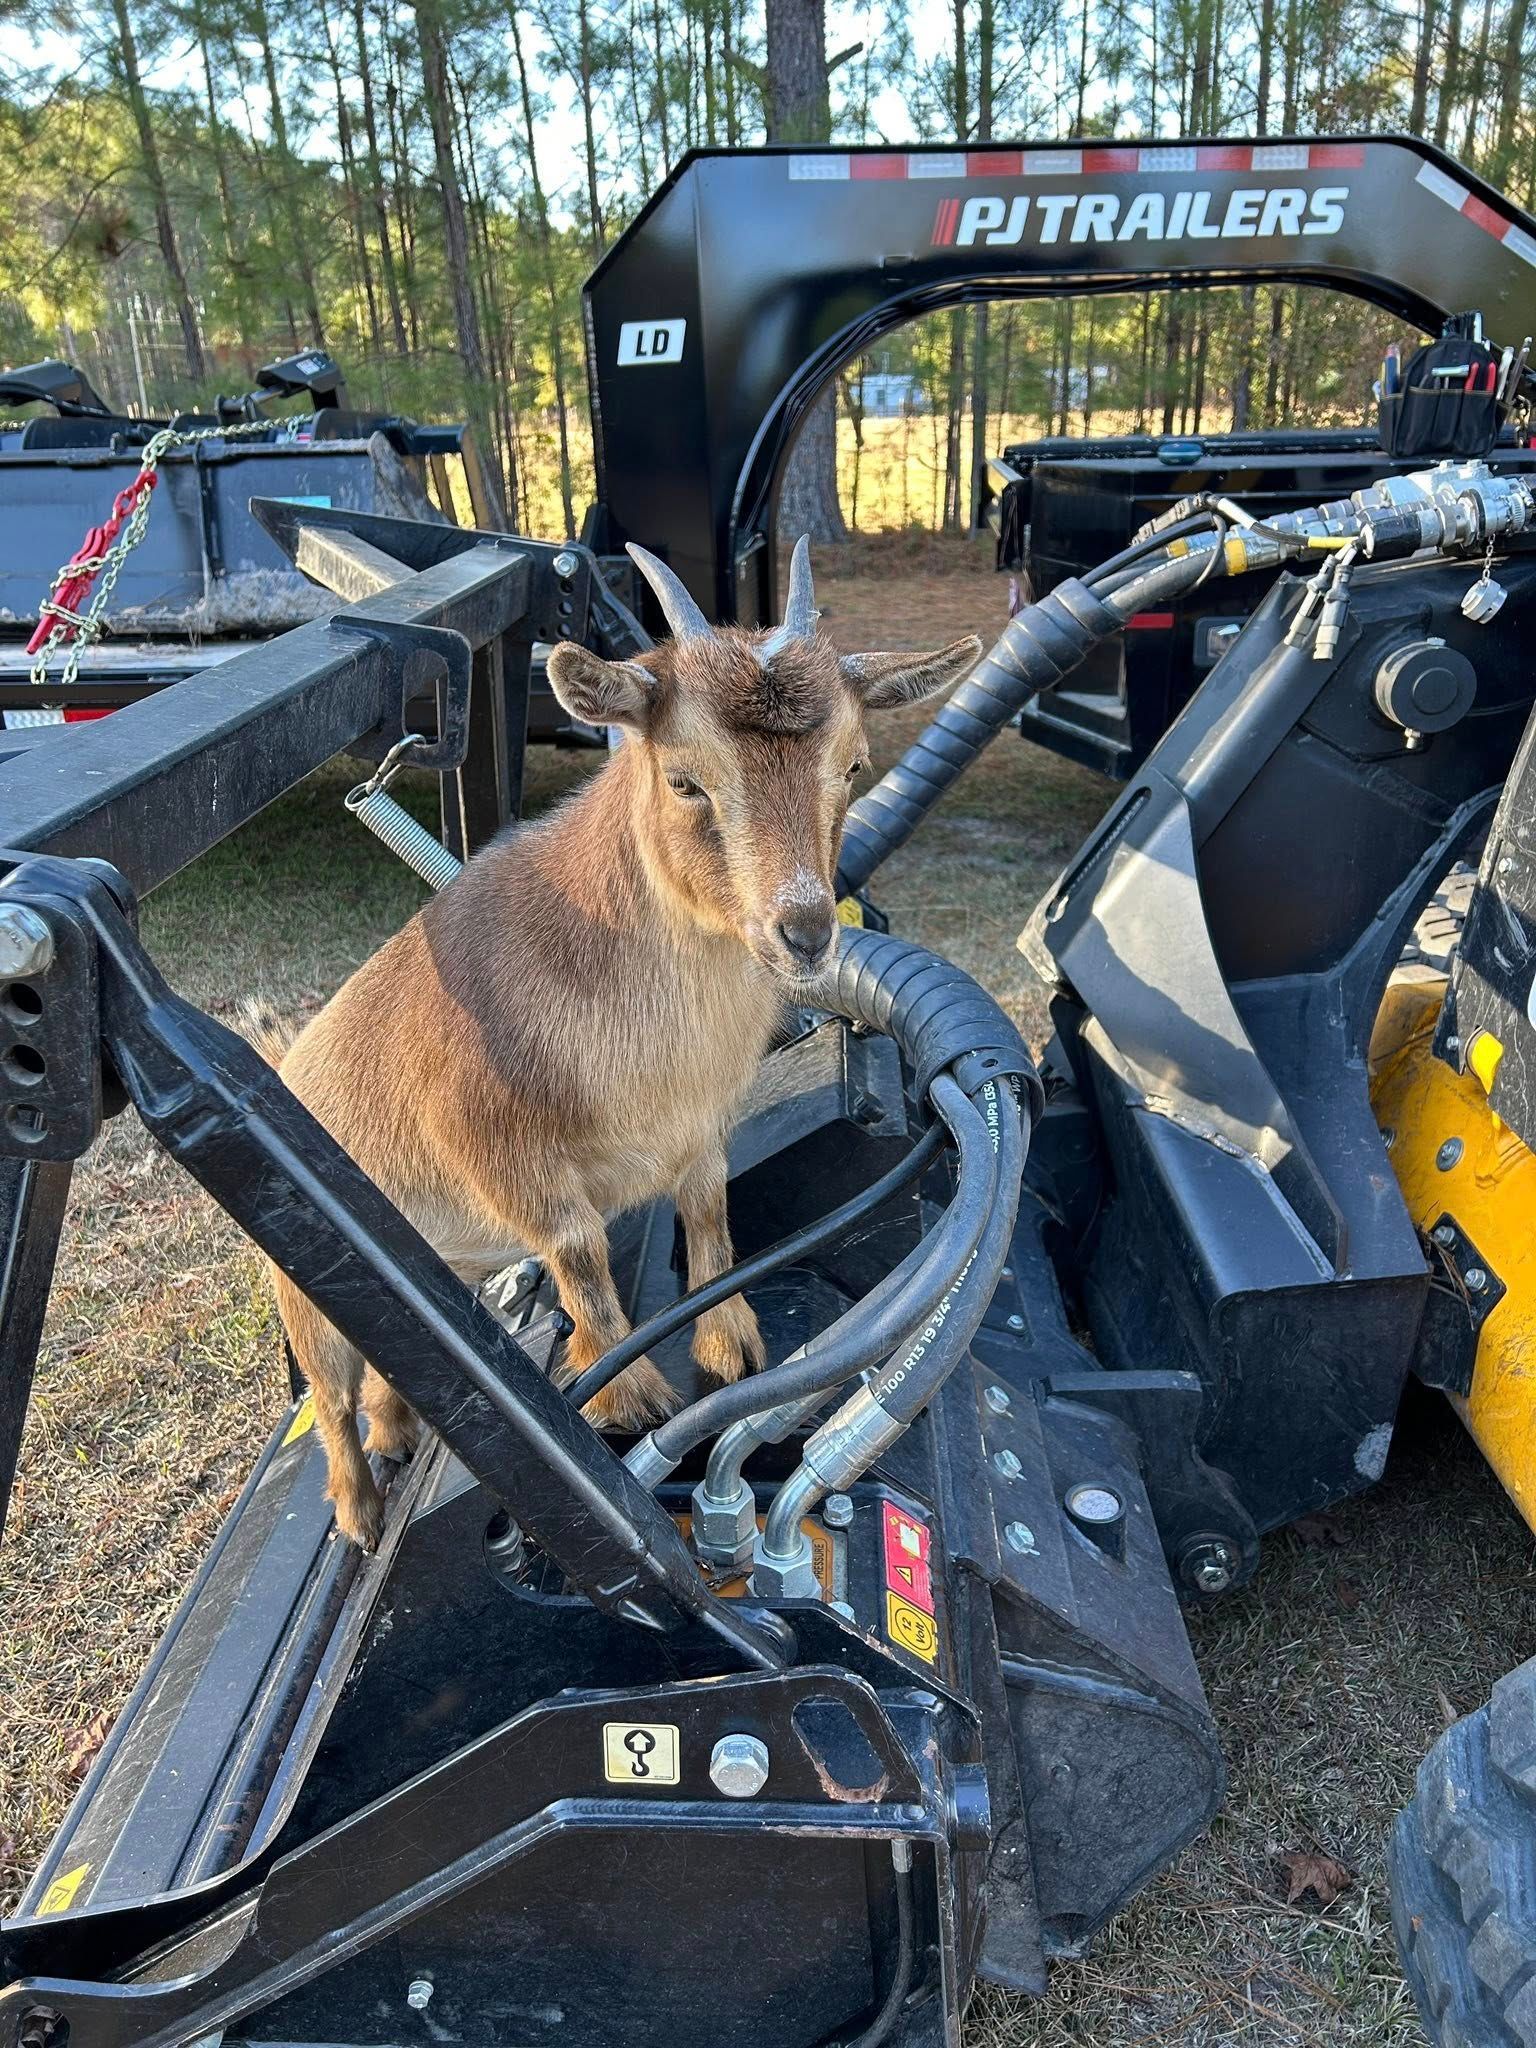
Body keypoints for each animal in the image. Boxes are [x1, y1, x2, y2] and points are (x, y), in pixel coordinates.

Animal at [264, 539, 981, 1549]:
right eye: (684, 778)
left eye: (853, 765)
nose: (806, 932)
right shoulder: (498, 1155)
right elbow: (580, 1258)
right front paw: (629, 1396)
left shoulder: (700, 1126)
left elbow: (712, 1214)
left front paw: (731, 1346)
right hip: (304, 1290)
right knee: (330, 1393)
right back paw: (361, 1513)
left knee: (392, 1372)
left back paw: (400, 1439)